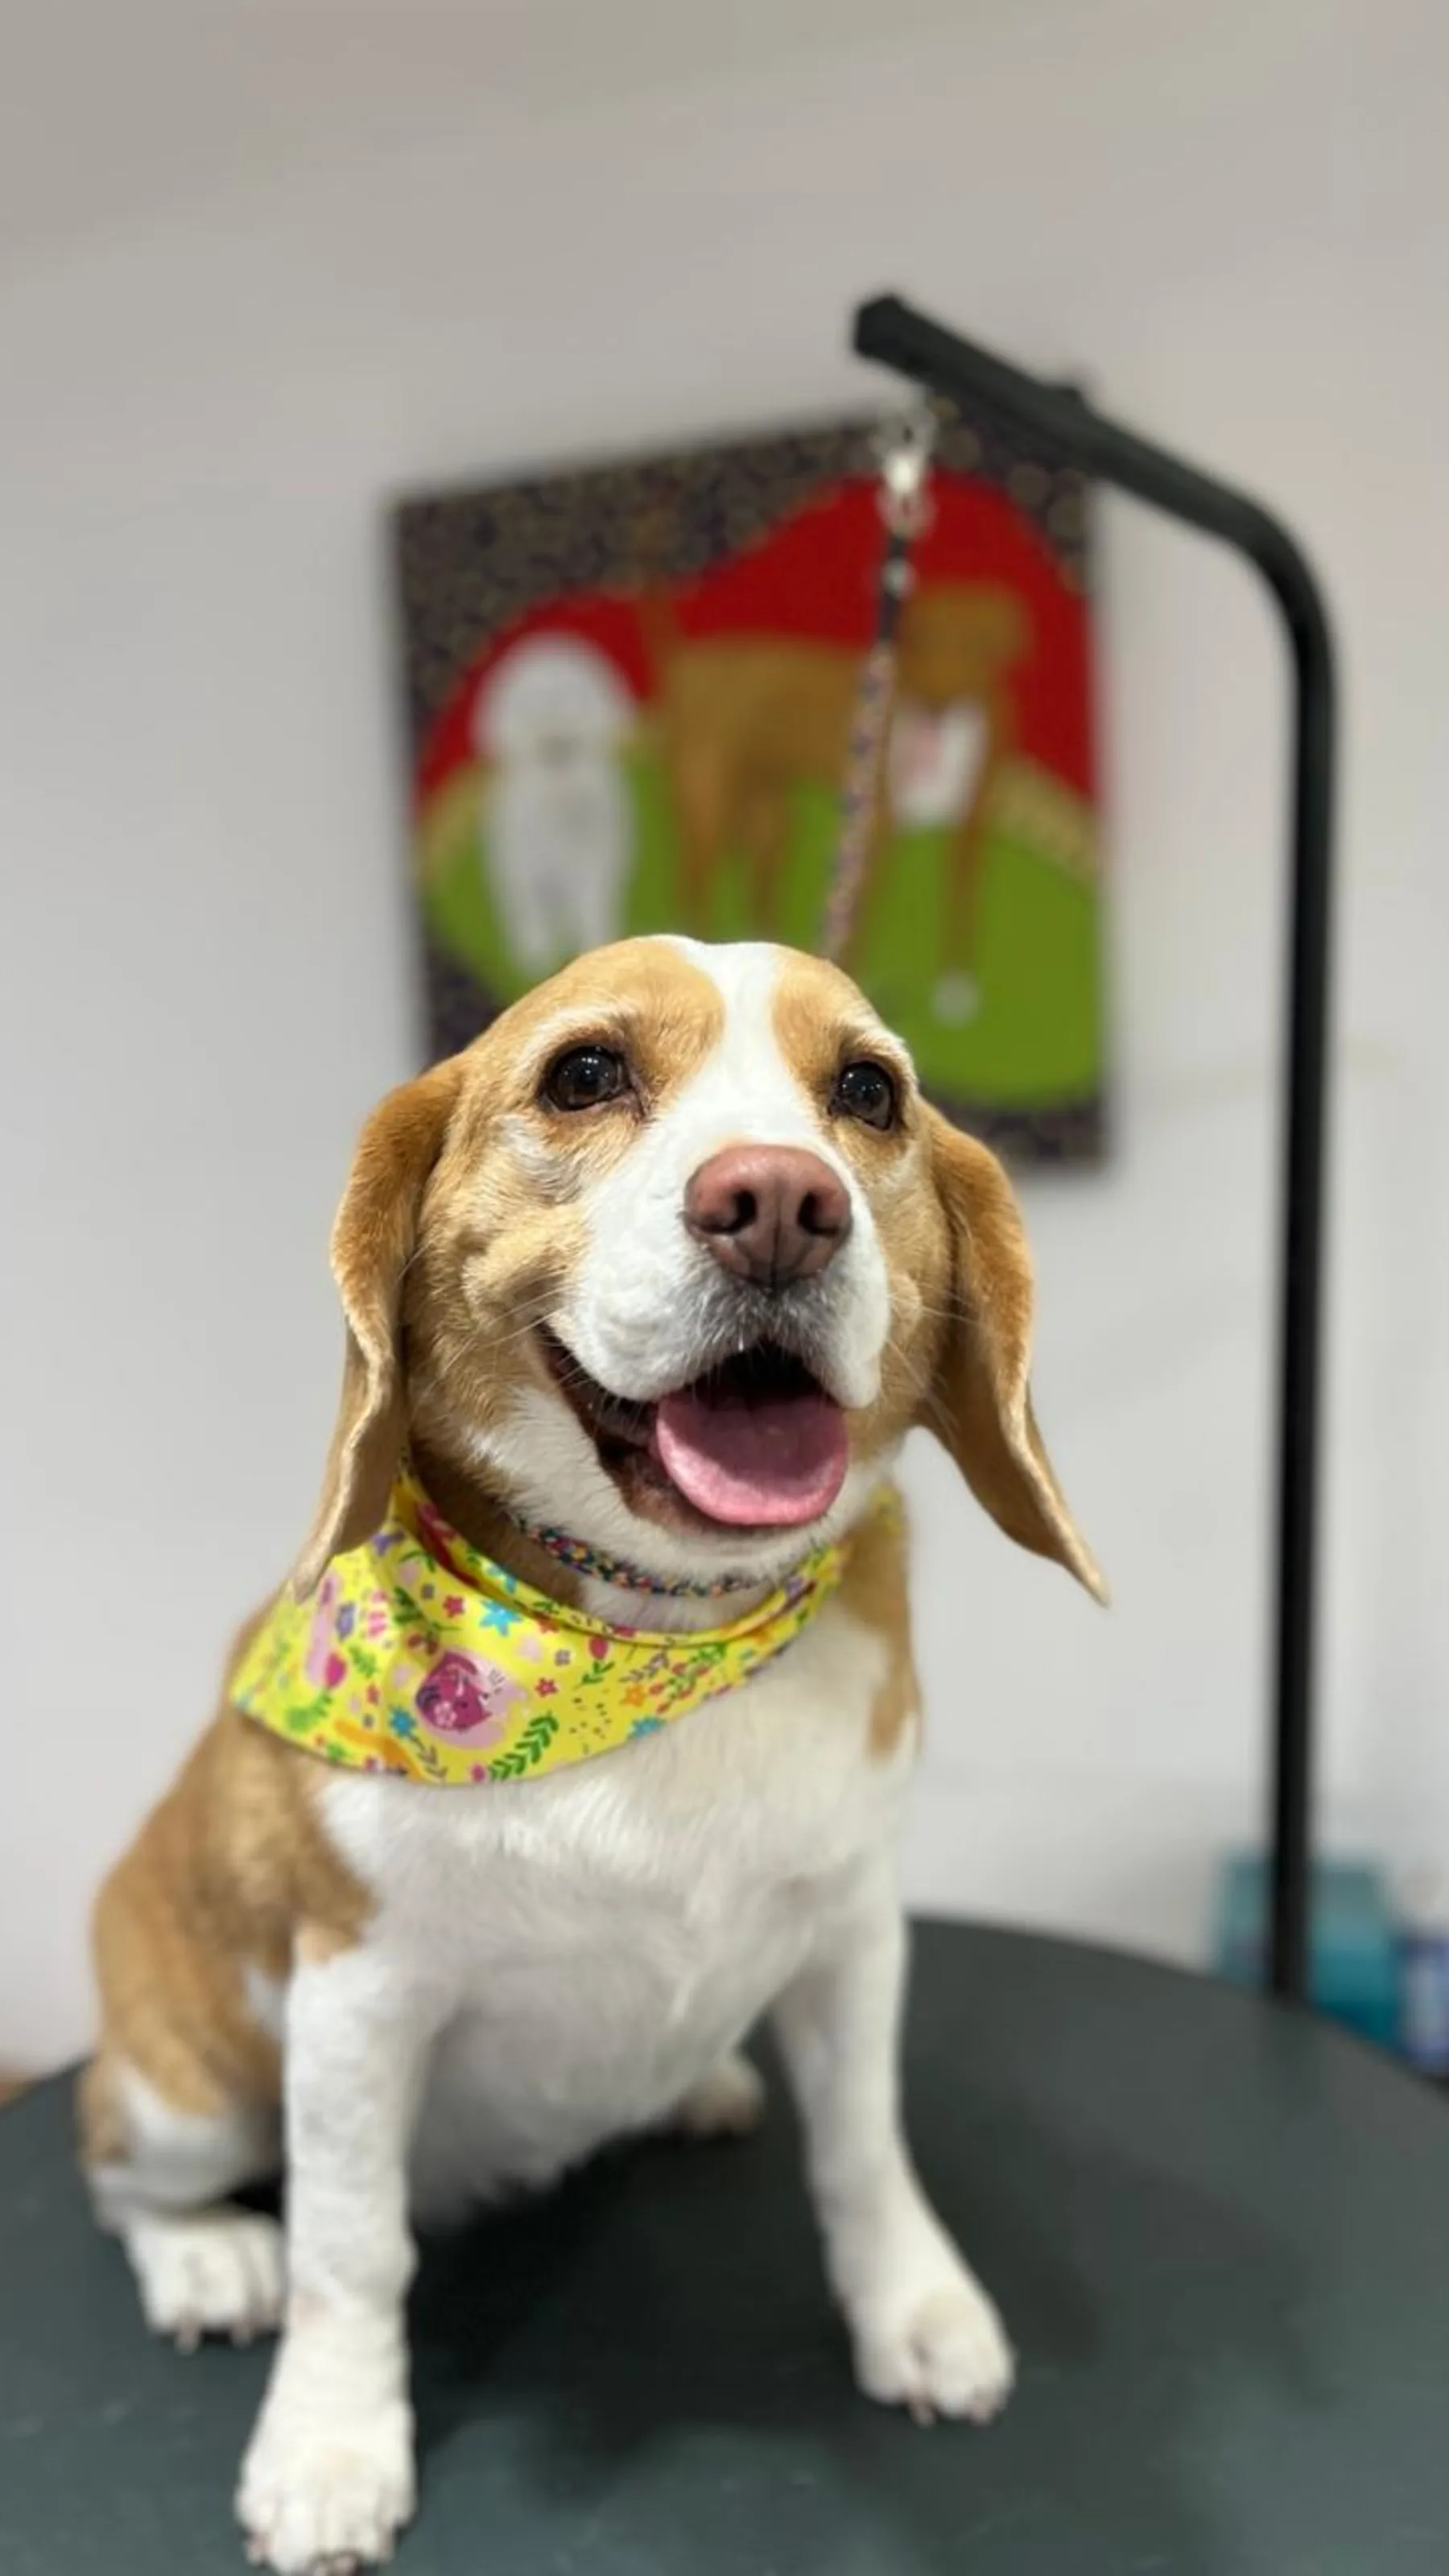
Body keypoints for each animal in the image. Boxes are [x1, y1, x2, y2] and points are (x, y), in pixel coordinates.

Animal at [79, 936, 1100, 2574]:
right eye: (584, 1075)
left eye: (869, 1091)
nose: (782, 1202)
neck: (662, 1632)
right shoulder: (357, 2000)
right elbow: (352, 2251)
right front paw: (331, 2447)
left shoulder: (852, 1931)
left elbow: (864, 2149)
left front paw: (915, 2308)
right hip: (189, 2096)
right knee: (123, 2172)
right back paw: (206, 2262)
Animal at [473, 633, 636, 974]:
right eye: (530, 707)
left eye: (574, 703)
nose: (554, 739)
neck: (559, 794)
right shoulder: (528, 869)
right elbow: (531, 915)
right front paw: (534, 957)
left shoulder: (592, 865)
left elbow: (593, 907)